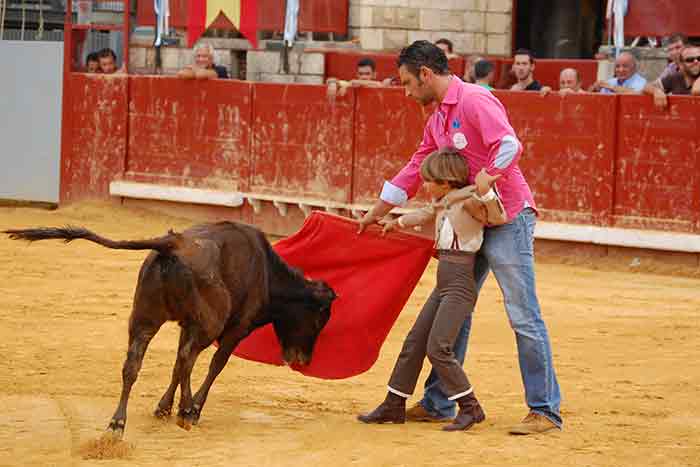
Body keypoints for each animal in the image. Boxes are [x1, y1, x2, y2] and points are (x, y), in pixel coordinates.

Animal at [2, 222, 336, 438]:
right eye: (319, 319)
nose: (304, 360)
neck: (267, 274)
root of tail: (171, 244)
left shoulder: (186, 324)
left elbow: (176, 364)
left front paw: (163, 408)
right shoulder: (234, 329)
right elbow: (214, 365)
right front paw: (190, 409)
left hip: (144, 319)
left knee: (134, 364)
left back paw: (117, 425)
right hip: (208, 323)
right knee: (188, 358)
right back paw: (186, 413)